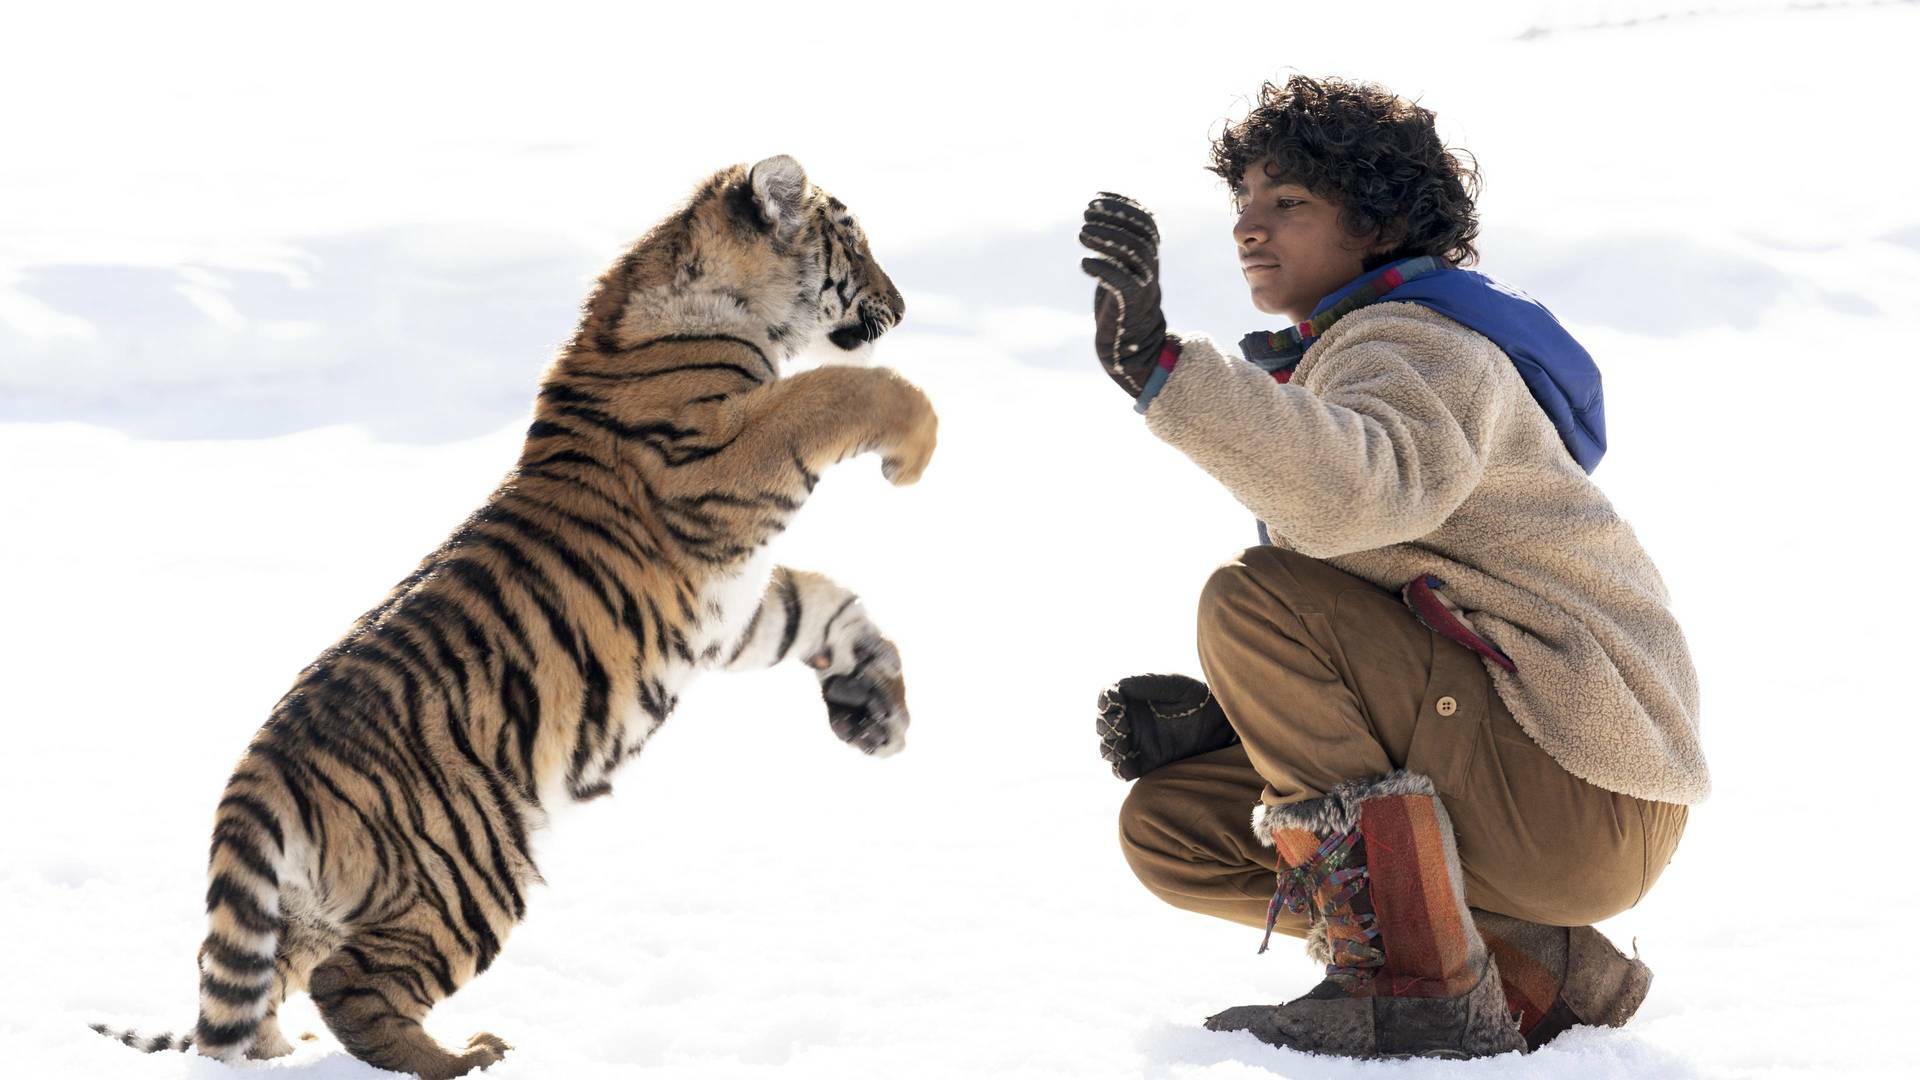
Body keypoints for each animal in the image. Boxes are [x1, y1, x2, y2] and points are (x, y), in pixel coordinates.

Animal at [90, 154, 936, 1079]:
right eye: (853, 240)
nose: (903, 305)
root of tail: (257, 772)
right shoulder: (720, 459)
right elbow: (842, 390)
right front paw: (914, 449)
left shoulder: (732, 610)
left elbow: (824, 607)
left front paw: (876, 711)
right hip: (468, 870)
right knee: (353, 985)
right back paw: (465, 1057)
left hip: (318, 904)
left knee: (261, 992)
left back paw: (285, 1053)